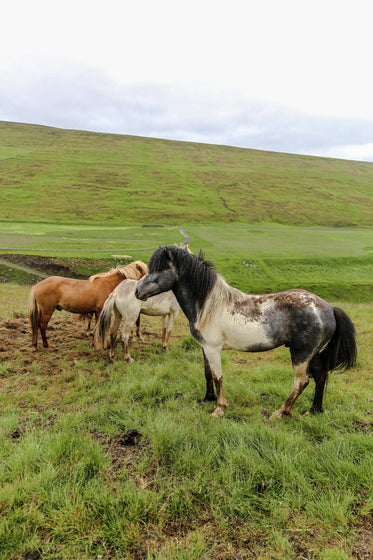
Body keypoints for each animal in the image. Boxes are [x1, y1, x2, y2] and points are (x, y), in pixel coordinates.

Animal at [135, 247, 356, 418]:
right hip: (313, 354)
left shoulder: (214, 349)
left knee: (302, 382)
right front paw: (208, 399)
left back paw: (280, 413)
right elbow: (208, 374)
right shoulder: (205, 348)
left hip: (301, 354)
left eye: (160, 268)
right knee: (320, 376)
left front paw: (219, 409)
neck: (209, 305)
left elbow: (218, 376)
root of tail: (329, 308)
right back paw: (314, 410)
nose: (137, 291)